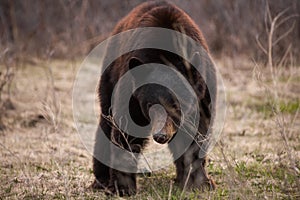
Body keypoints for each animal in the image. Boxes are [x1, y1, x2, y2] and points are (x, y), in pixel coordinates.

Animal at [92, 0, 217, 197]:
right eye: (150, 104)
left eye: (176, 104)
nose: (161, 135)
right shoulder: (131, 94)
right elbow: (125, 132)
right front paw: (123, 187)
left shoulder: (203, 95)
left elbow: (197, 135)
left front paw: (199, 182)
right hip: (110, 75)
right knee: (105, 120)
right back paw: (101, 180)